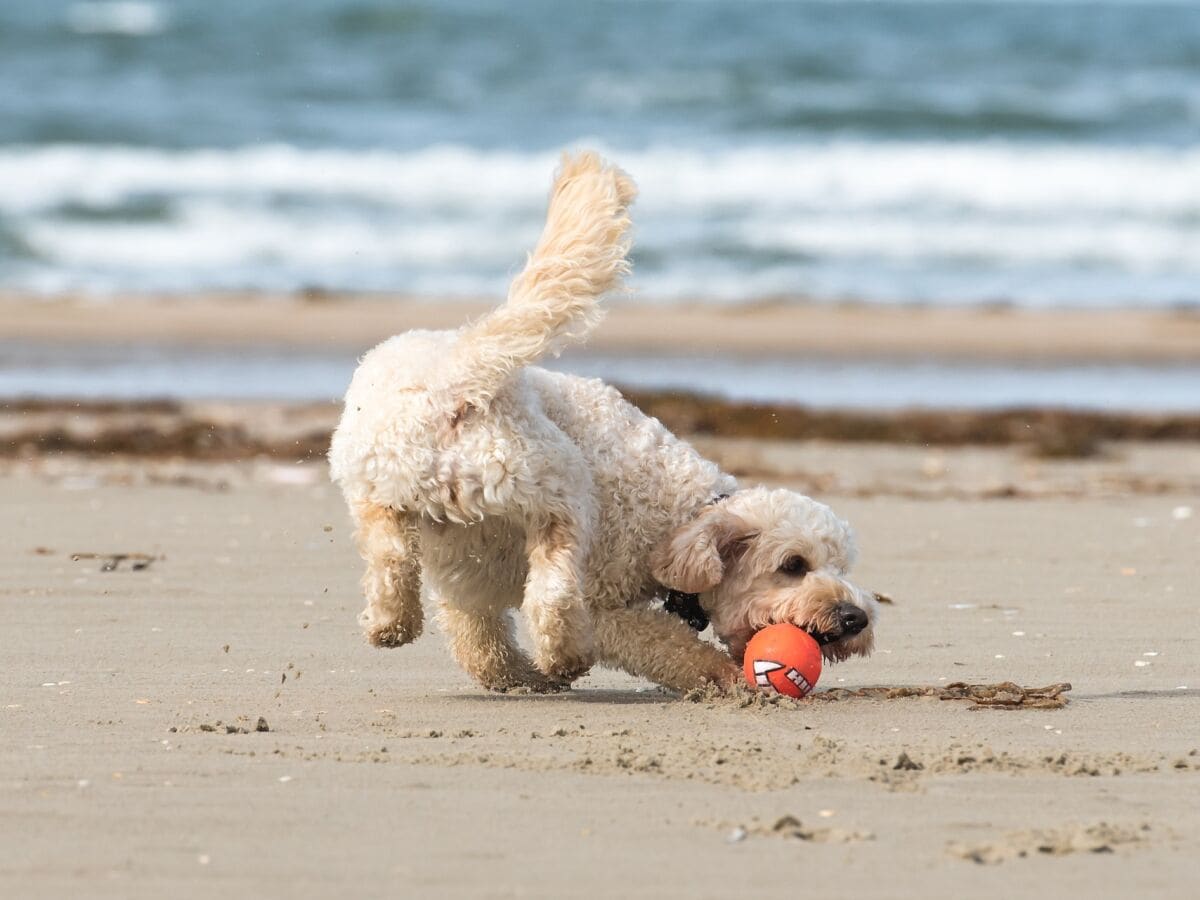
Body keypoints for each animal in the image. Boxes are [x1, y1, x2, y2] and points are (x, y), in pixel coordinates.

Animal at [333, 151, 878, 696]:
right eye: (793, 566)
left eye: (840, 565)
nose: (856, 618)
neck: (680, 517)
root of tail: (458, 376)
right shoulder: (605, 602)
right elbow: (670, 646)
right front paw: (725, 677)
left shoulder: (465, 578)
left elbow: (479, 643)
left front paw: (518, 677)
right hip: (560, 486)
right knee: (553, 588)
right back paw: (564, 654)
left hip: (380, 487)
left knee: (395, 558)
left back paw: (393, 623)